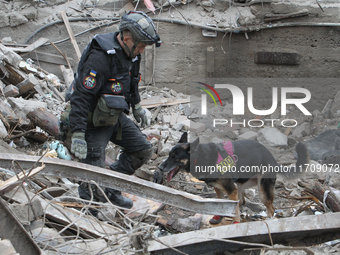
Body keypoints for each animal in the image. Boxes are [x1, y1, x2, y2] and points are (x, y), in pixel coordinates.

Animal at [158, 132, 310, 224]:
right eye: (169, 155)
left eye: (175, 158)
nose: (159, 168)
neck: (201, 157)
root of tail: (272, 158)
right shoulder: (219, 188)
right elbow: (221, 203)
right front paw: (218, 217)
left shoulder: (230, 189)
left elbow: (233, 208)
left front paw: (236, 222)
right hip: (241, 185)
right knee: (241, 201)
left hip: (262, 191)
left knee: (271, 209)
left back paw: (267, 220)